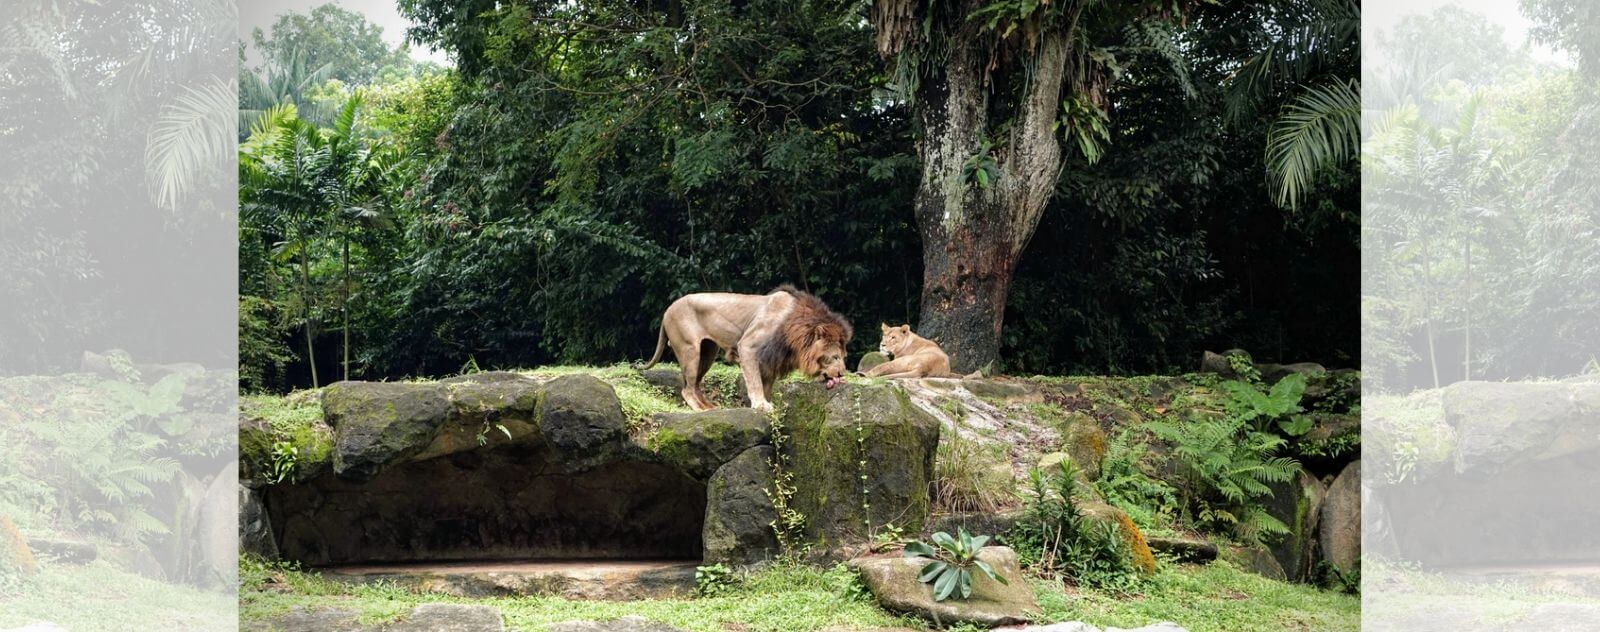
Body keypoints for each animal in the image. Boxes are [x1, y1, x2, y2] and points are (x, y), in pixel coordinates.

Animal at [643, 286, 857, 412]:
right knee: (687, 390)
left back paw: (711, 407)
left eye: (844, 356)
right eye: (834, 357)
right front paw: (761, 405)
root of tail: (667, 310)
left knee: (694, 385)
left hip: (707, 352)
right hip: (690, 350)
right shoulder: (748, 345)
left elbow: (766, 384)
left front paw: (767, 402)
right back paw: (703, 410)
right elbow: (754, 381)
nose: (842, 373)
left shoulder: (771, 359)